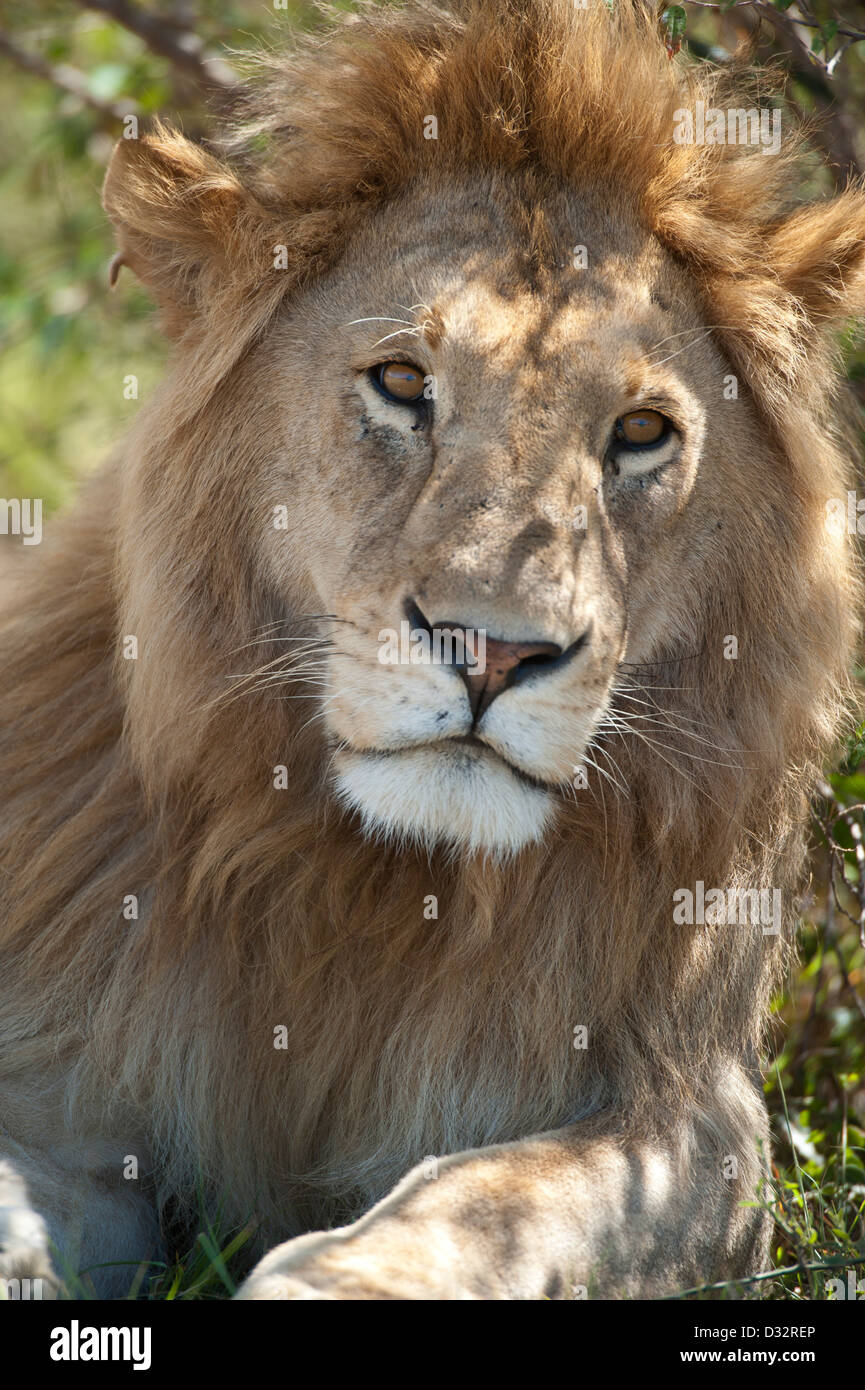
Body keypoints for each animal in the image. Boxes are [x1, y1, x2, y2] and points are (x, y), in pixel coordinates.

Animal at [1, 2, 865, 1301]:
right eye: (403, 381)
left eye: (641, 432)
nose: (493, 653)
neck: (372, 881)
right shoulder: (66, 1078)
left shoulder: (694, 1120)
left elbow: (491, 1199)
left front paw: (337, 1278)